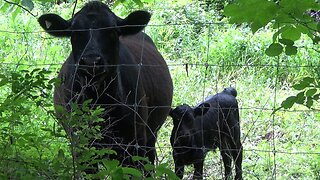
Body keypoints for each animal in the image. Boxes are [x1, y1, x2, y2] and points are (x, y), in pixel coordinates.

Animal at [38, 0, 172, 173]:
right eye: (74, 32)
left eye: (113, 31)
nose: (91, 61)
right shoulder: (81, 146)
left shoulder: (135, 145)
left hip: (150, 137)